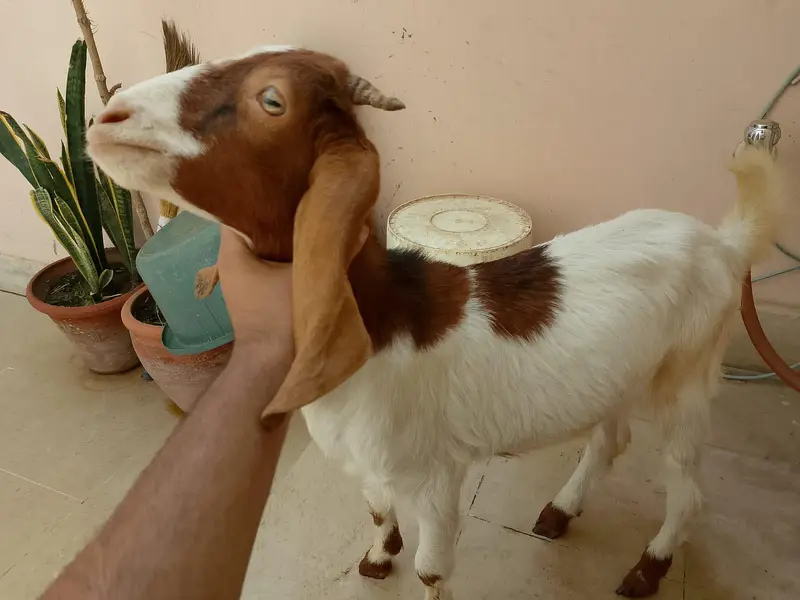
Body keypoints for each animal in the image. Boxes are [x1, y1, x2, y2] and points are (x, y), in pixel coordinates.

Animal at [87, 46, 781, 600]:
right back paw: (560, 512)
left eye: (272, 99)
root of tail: (723, 244)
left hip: (687, 379)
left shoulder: (437, 474)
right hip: (622, 376)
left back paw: (648, 568)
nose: (106, 118)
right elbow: (374, 512)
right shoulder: (371, 462)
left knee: (688, 489)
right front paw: (378, 555)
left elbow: (431, 568)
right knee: (612, 440)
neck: (382, 319)